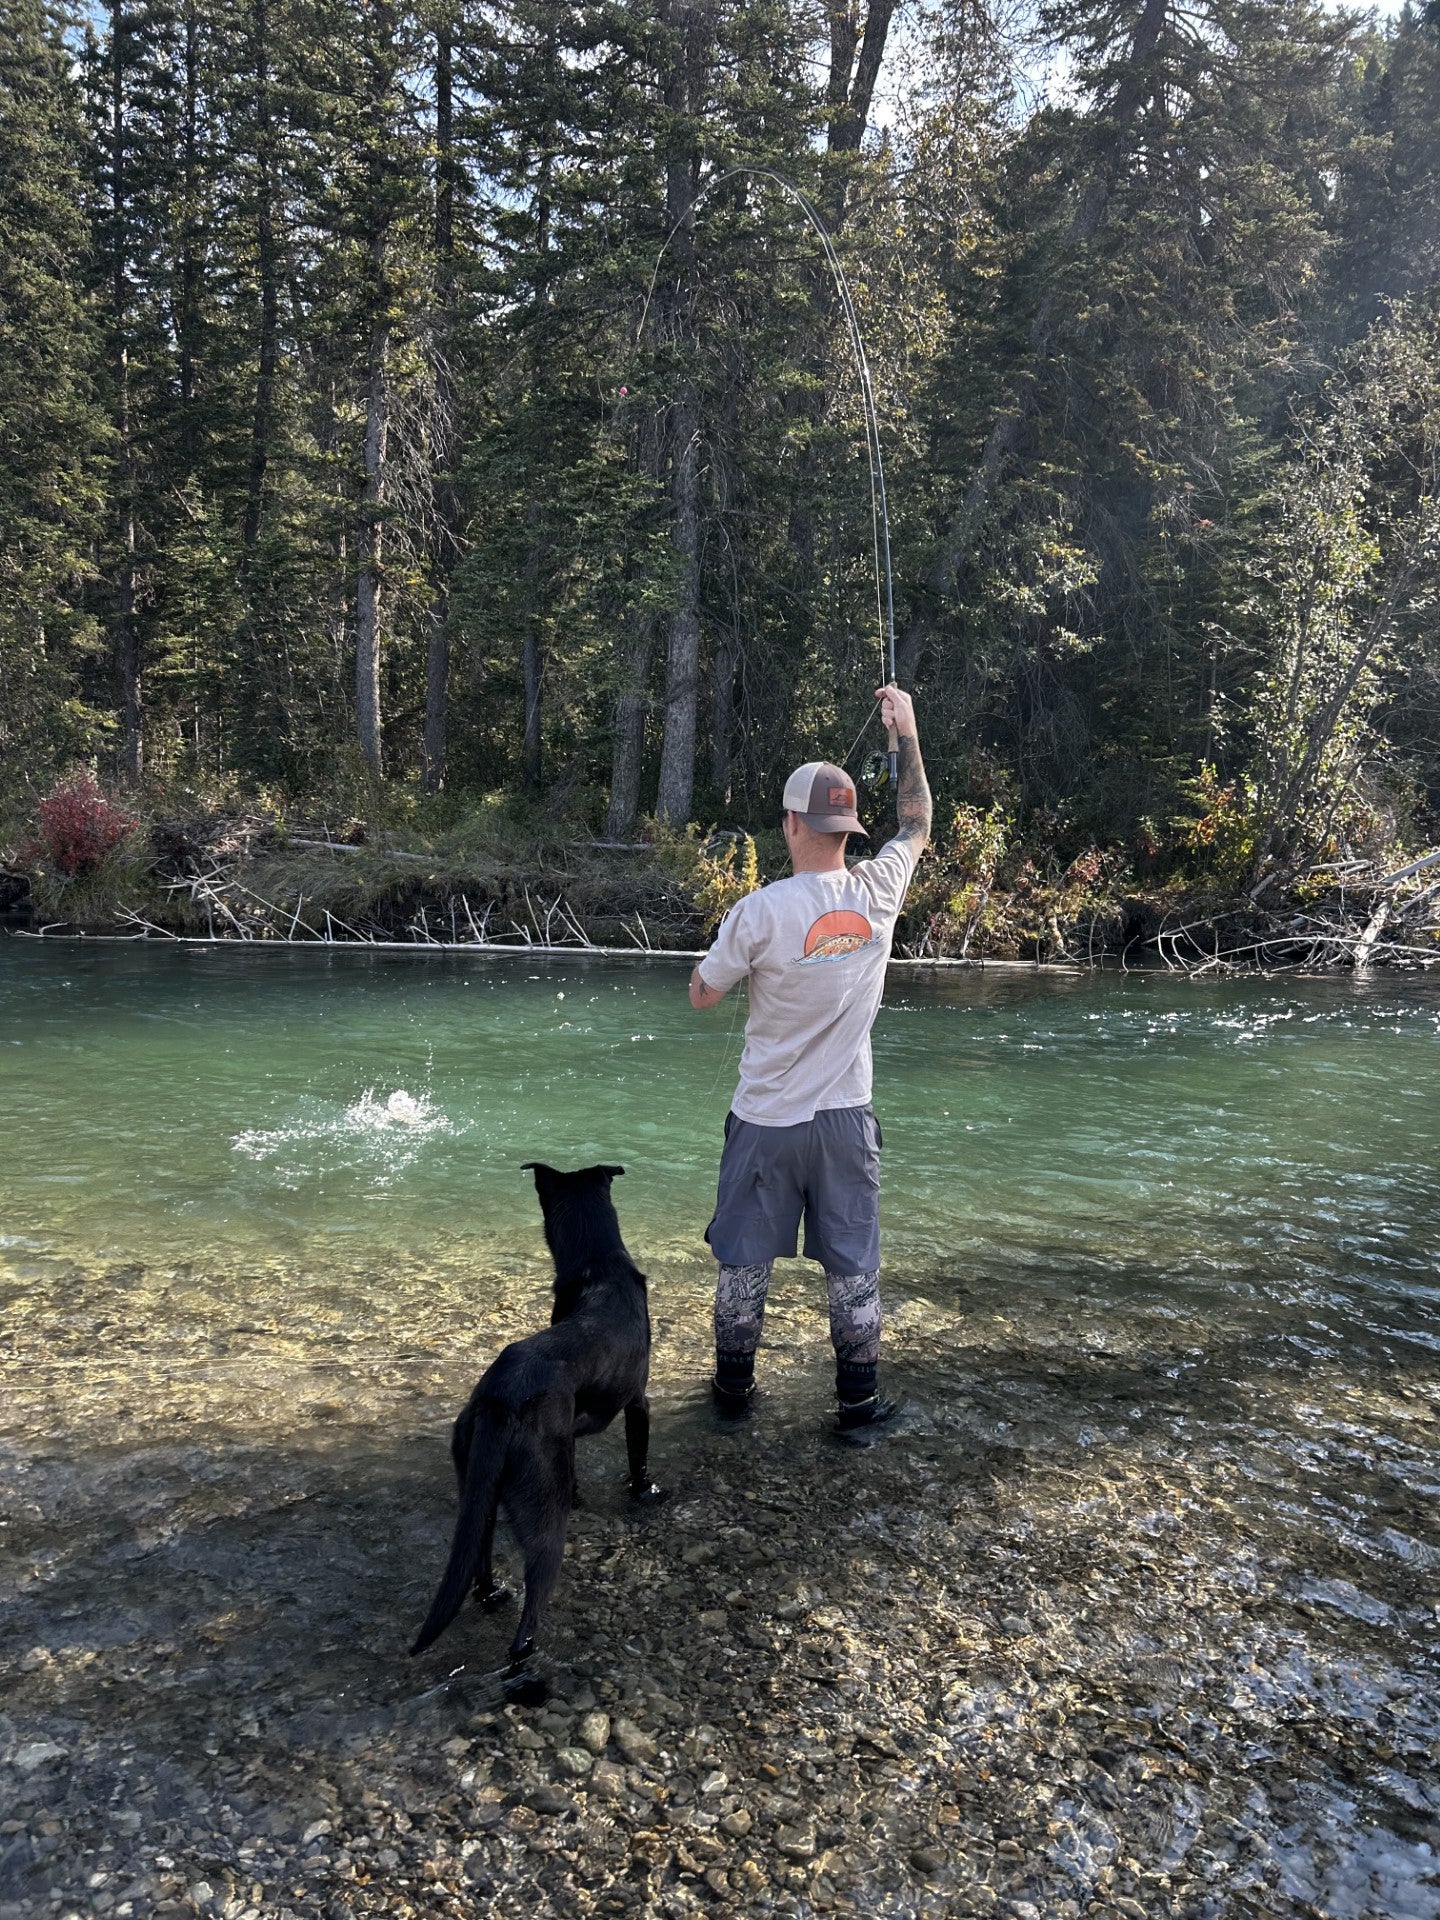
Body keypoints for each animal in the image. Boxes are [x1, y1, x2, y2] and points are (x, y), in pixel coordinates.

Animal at [408, 1152, 664, 1666]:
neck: (597, 1264)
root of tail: (500, 1399)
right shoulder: (637, 1402)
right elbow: (638, 1461)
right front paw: (645, 1492)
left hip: (480, 1492)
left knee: (478, 1562)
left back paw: (491, 1596)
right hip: (545, 1517)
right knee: (527, 1617)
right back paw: (524, 1660)